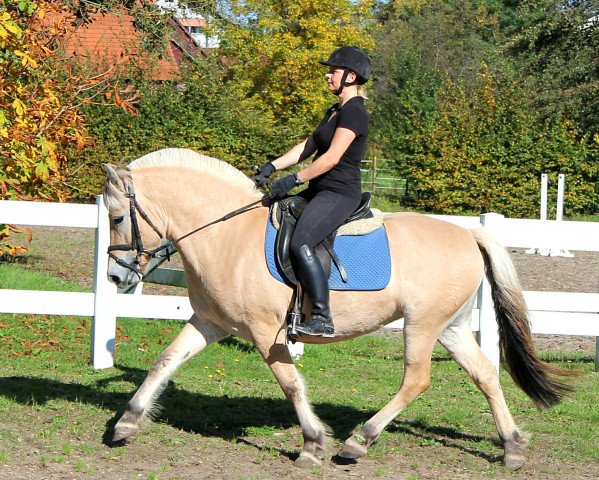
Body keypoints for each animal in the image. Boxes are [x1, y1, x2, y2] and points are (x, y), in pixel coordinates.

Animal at [103, 146, 576, 468]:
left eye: (117, 218)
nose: (116, 278)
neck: (226, 235)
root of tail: (469, 235)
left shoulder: (265, 331)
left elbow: (291, 384)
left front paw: (313, 443)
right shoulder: (210, 323)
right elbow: (164, 362)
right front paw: (126, 422)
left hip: (422, 325)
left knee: (417, 379)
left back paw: (358, 441)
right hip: (452, 327)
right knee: (485, 376)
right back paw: (512, 446)